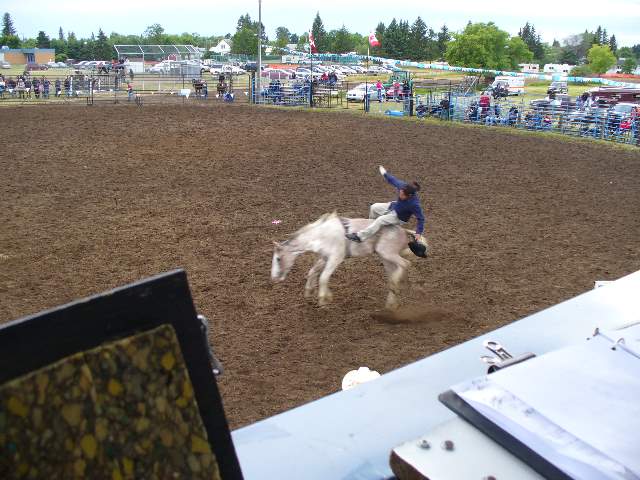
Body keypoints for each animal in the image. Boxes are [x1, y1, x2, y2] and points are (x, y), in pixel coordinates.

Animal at [272, 212, 424, 310]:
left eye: (278, 259)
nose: (274, 279)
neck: (321, 235)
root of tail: (404, 231)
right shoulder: (324, 257)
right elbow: (313, 271)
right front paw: (309, 291)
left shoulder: (335, 258)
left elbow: (323, 277)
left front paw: (323, 299)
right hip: (385, 258)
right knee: (394, 272)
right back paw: (392, 300)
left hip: (388, 253)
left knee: (405, 264)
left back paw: (395, 287)